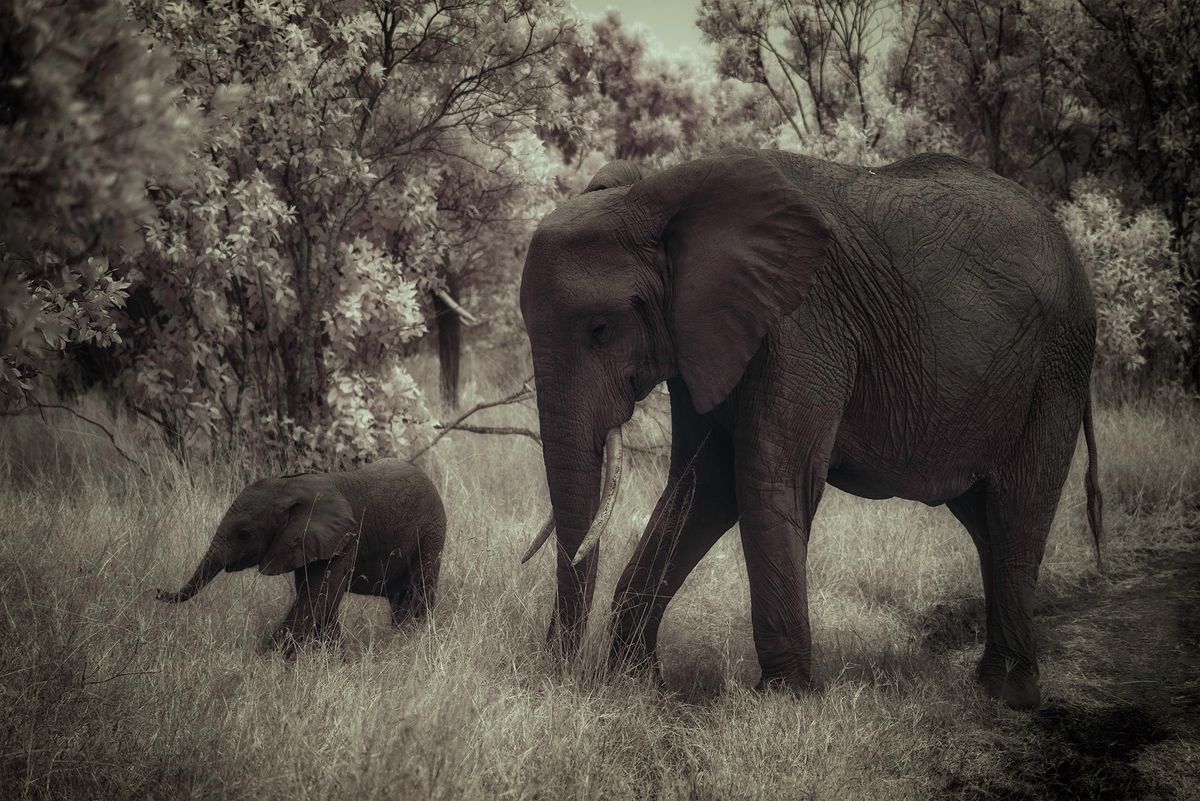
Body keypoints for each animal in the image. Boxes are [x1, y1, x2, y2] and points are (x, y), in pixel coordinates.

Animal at [157, 455, 444, 652]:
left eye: (244, 533)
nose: (157, 592)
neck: (291, 487)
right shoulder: (302, 544)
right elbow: (319, 603)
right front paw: (337, 660)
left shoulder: (344, 540)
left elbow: (316, 600)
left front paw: (261, 664)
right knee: (400, 599)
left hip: (431, 533)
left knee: (419, 592)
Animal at [520, 148, 1099, 705]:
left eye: (600, 330)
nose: (559, 675)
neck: (660, 197)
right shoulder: (703, 335)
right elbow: (699, 488)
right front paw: (638, 683)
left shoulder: (804, 324)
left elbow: (770, 478)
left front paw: (782, 698)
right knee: (986, 522)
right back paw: (990, 683)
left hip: (1057, 364)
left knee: (1018, 506)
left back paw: (1013, 694)